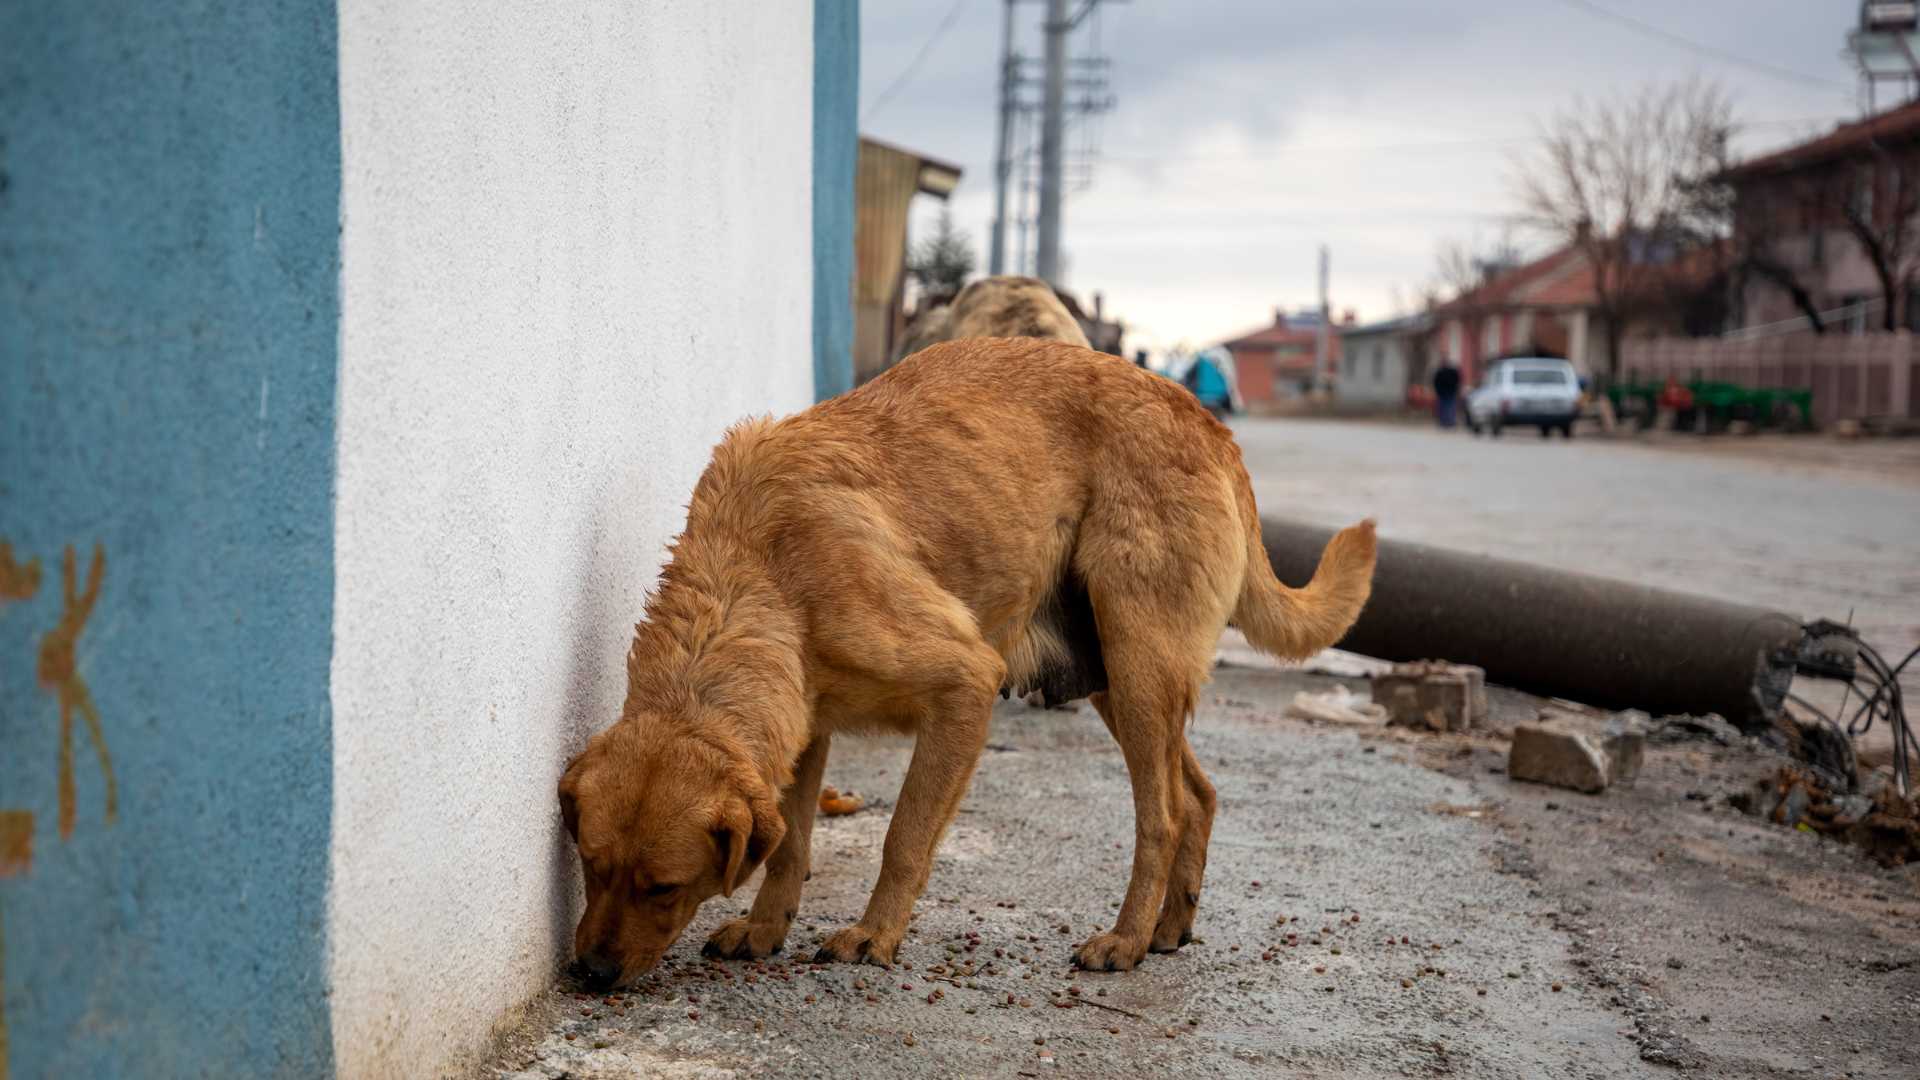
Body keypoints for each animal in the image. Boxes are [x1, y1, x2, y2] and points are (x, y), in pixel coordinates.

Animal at [560, 336, 1382, 983]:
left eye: (663, 887)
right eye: (591, 868)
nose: (591, 974)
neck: (757, 568)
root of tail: (1210, 425)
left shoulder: (964, 685)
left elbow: (904, 836)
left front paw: (874, 935)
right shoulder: (803, 731)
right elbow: (791, 843)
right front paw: (766, 930)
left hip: (1139, 664)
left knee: (1166, 814)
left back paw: (1123, 941)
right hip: (1117, 678)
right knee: (1202, 794)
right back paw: (1168, 928)